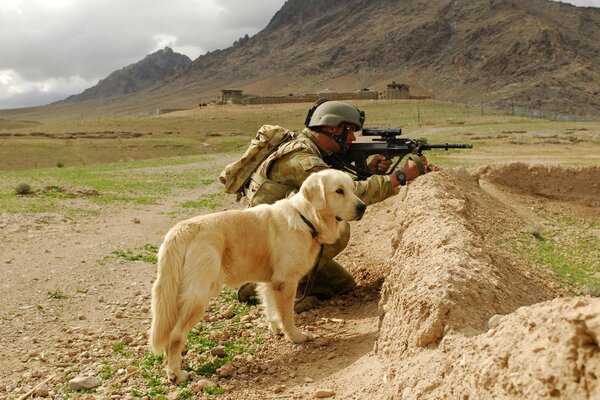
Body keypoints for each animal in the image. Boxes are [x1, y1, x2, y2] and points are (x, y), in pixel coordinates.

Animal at [150, 168, 366, 382]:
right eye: (339, 191)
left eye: (352, 188)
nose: (362, 207)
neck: (307, 219)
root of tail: (181, 230)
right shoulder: (286, 281)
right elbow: (287, 315)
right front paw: (295, 336)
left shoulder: (270, 283)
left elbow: (272, 309)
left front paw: (276, 329)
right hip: (199, 295)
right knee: (175, 336)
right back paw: (175, 373)